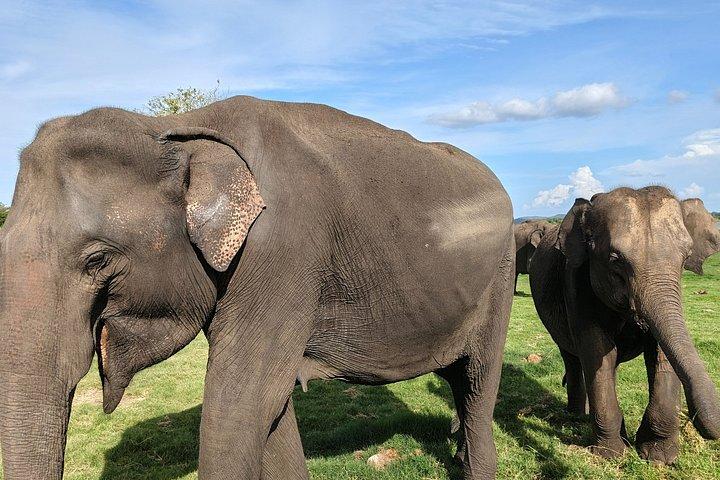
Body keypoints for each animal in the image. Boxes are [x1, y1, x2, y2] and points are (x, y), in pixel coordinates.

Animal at [0, 96, 515, 479]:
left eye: (98, 260)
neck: (176, 129)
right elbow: (271, 408)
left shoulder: (281, 252)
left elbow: (239, 408)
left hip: (501, 278)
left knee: (477, 380)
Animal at [528, 186, 720, 465]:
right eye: (615, 261)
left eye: (685, 257)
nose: (695, 418)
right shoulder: (575, 282)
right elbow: (597, 350)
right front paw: (610, 455)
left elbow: (662, 352)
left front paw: (659, 457)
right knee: (573, 358)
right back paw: (576, 416)